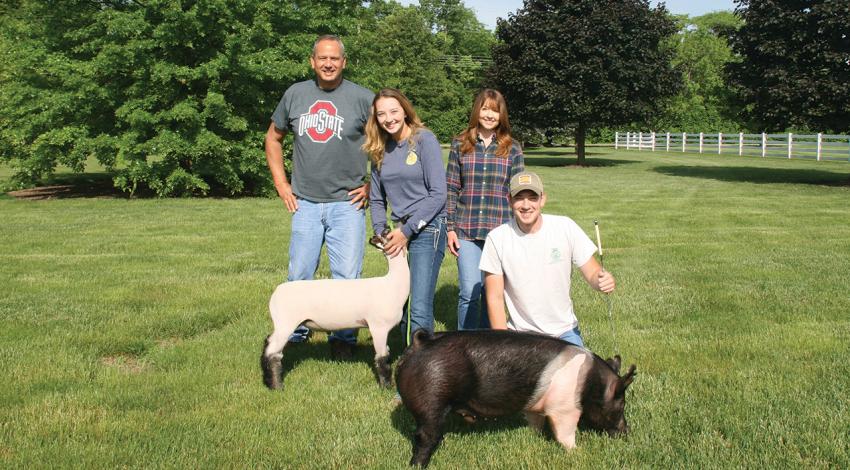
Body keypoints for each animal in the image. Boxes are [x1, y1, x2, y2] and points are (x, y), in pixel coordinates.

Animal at [260, 230, 410, 390]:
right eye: (387, 234)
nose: (374, 237)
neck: (392, 284)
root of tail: (276, 293)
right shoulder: (378, 327)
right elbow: (382, 359)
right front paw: (386, 387)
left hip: (282, 325)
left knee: (268, 342)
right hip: (285, 324)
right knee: (272, 353)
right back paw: (276, 386)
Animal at [394, 328, 632, 468]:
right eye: (621, 404)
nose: (627, 433)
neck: (591, 384)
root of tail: (420, 343)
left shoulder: (535, 406)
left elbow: (535, 422)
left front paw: (535, 436)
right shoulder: (564, 408)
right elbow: (565, 433)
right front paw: (577, 452)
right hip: (432, 400)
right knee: (425, 436)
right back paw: (417, 465)